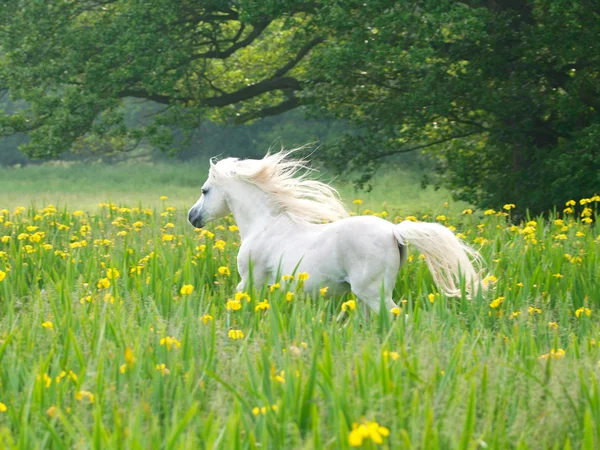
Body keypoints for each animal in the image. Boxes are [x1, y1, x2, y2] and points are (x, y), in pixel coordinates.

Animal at [190, 151, 486, 312]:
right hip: (366, 296)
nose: (192, 217)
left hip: (373, 293)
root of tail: (394, 232)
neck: (265, 226)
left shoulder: (250, 280)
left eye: (204, 190)